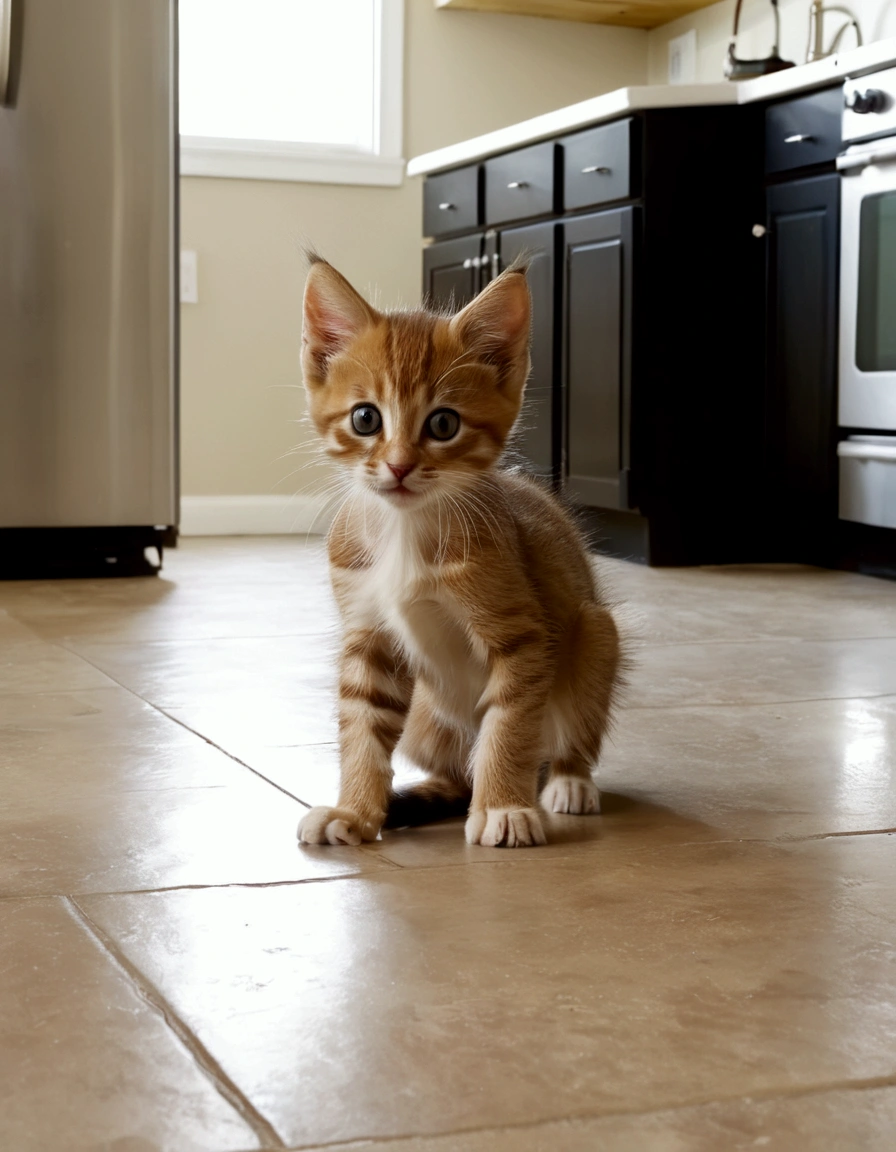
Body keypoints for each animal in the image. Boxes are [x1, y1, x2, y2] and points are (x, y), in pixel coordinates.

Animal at [297, 259, 617, 847]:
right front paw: (354, 811)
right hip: (425, 719)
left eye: (443, 424)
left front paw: (504, 808)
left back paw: (568, 781)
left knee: (556, 742)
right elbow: (362, 728)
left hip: (596, 636)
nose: (399, 466)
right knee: (455, 772)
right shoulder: (368, 637)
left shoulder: (523, 638)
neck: (405, 531)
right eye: (365, 419)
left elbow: (509, 725)